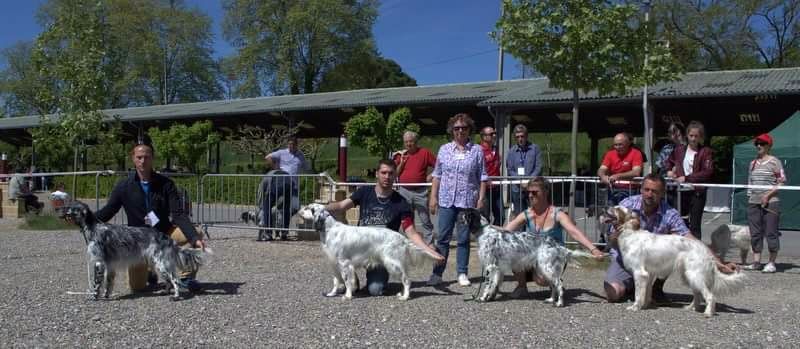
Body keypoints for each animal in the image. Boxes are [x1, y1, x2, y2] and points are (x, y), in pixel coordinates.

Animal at [59, 200, 209, 300]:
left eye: (70, 207)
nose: (58, 209)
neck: (93, 227)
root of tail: (167, 238)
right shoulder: (109, 265)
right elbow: (108, 283)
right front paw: (106, 295)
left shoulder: (98, 263)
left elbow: (97, 284)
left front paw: (94, 297)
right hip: (159, 263)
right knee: (169, 280)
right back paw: (165, 292)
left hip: (161, 263)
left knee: (175, 280)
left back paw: (176, 296)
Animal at [460, 207, 596, 304]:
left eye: (465, 213)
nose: (458, 215)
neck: (484, 231)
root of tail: (558, 246)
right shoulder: (498, 269)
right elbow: (494, 284)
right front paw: (490, 297)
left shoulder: (490, 266)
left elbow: (487, 285)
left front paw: (482, 298)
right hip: (543, 268)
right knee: (554, 285)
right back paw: (551, 300)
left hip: (547, 268)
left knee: (559, 285)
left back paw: (559, 303)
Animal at [604, 205, 748, 316]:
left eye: (617, 209)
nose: (605, 208)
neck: (630, 234)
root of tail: (706, 251)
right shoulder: (649, 275)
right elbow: (647, 293)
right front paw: (645, 306)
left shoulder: (640, 273)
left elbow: (638, 294)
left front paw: (635, 307)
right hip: (689, 275)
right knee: (698, 295)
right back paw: (690, 308)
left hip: (694, 275)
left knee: (709, 296)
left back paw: (708, 313)